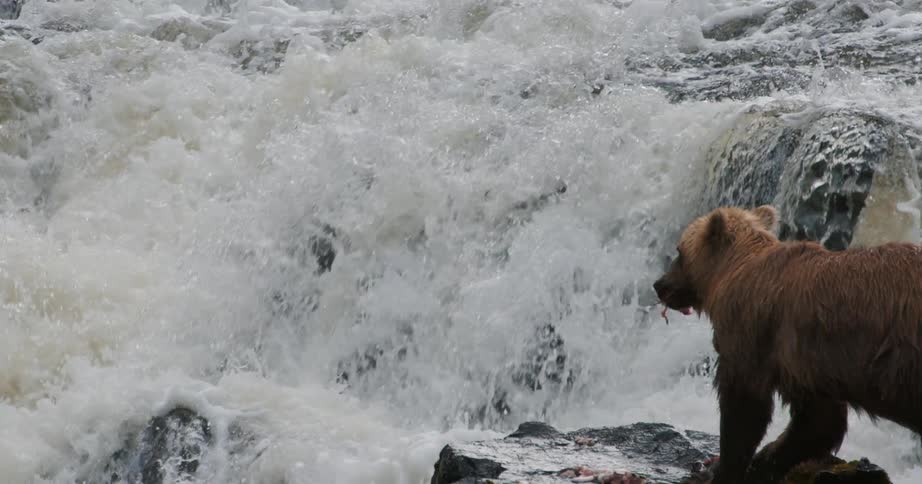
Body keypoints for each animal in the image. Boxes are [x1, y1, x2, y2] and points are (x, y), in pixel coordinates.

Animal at [653, 205, 922, 484]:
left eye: (679, 251)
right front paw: (766, 461)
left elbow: (745, 406)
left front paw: (723, 468)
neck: (731, 272)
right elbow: (818, 421)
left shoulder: (755, 335)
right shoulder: (804, 363)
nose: (659, 285)